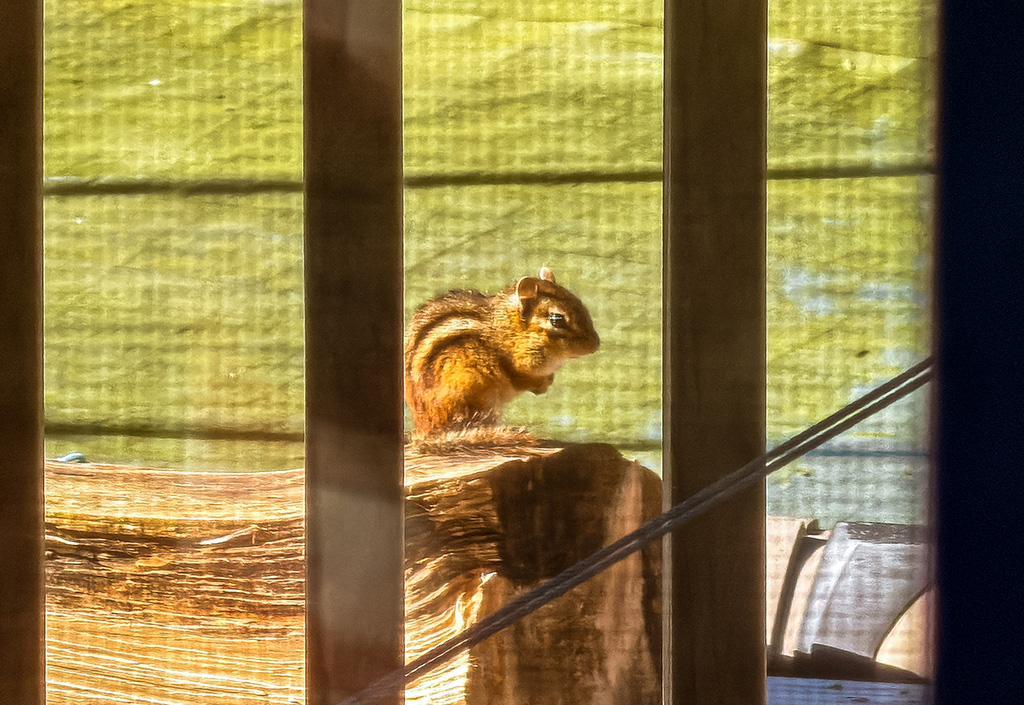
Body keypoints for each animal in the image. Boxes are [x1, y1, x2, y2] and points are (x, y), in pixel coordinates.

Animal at [404, 267, 600, 436]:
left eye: (580, 305)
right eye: (556, 319)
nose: (595, 345)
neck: (510, 330)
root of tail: (424, 425)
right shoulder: (517, 365)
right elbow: (523, 378)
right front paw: (543, 383)